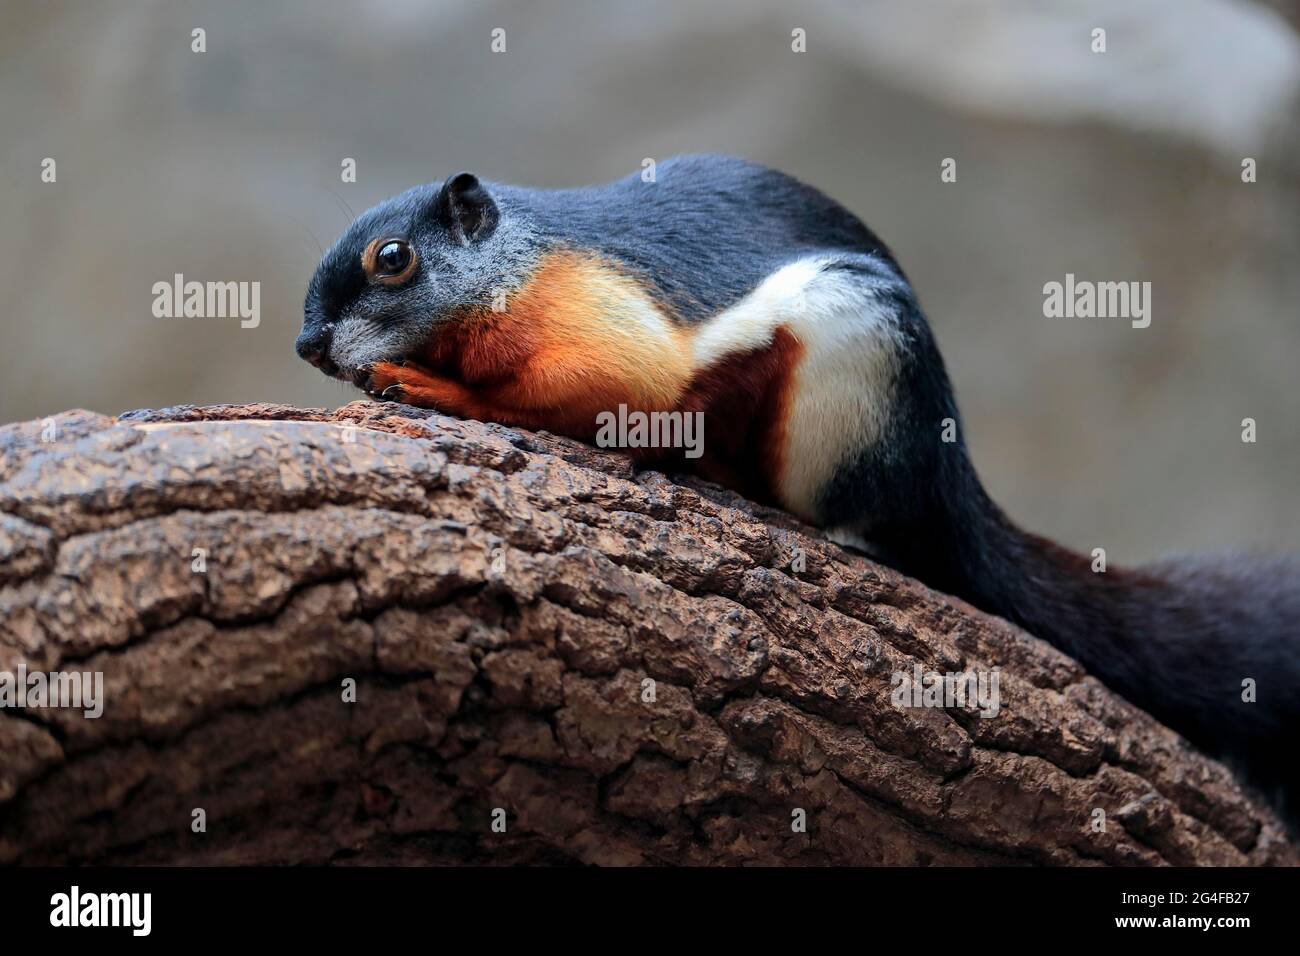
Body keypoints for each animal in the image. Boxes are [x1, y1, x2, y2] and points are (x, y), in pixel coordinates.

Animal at [297, 154, 1298, 823]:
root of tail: (952, 486)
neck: (518, 264)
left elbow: (589, 389)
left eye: (394, 258)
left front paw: (425, 384)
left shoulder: (600, 318)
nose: (307, 346)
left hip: (845, 382)